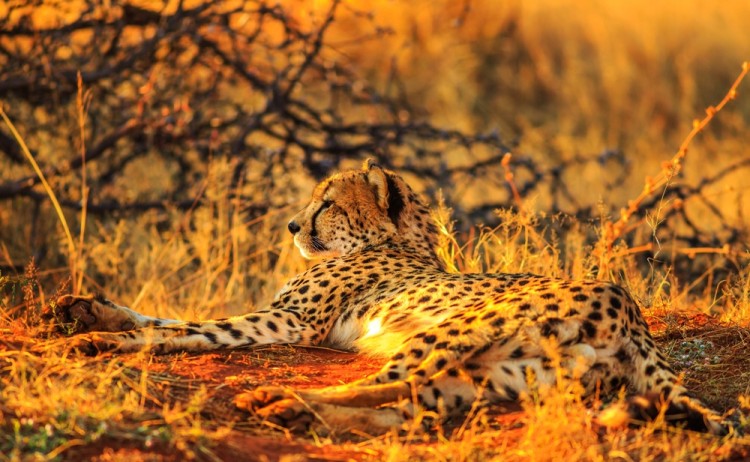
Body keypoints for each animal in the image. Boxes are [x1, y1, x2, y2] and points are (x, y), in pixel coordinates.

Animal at [50, 159, 725, 435]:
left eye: (327, 203)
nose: (292, 226)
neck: (398, 240)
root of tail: (628, 308)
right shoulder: (281, 316)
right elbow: (169, 314)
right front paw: (89, 310)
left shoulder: (288, 323)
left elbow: (186, 329)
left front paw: (101, 339)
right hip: (505, 373)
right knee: (409, 408)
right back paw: (299, 414)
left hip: (452, 334)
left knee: (382, 385)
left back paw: (280, 399)